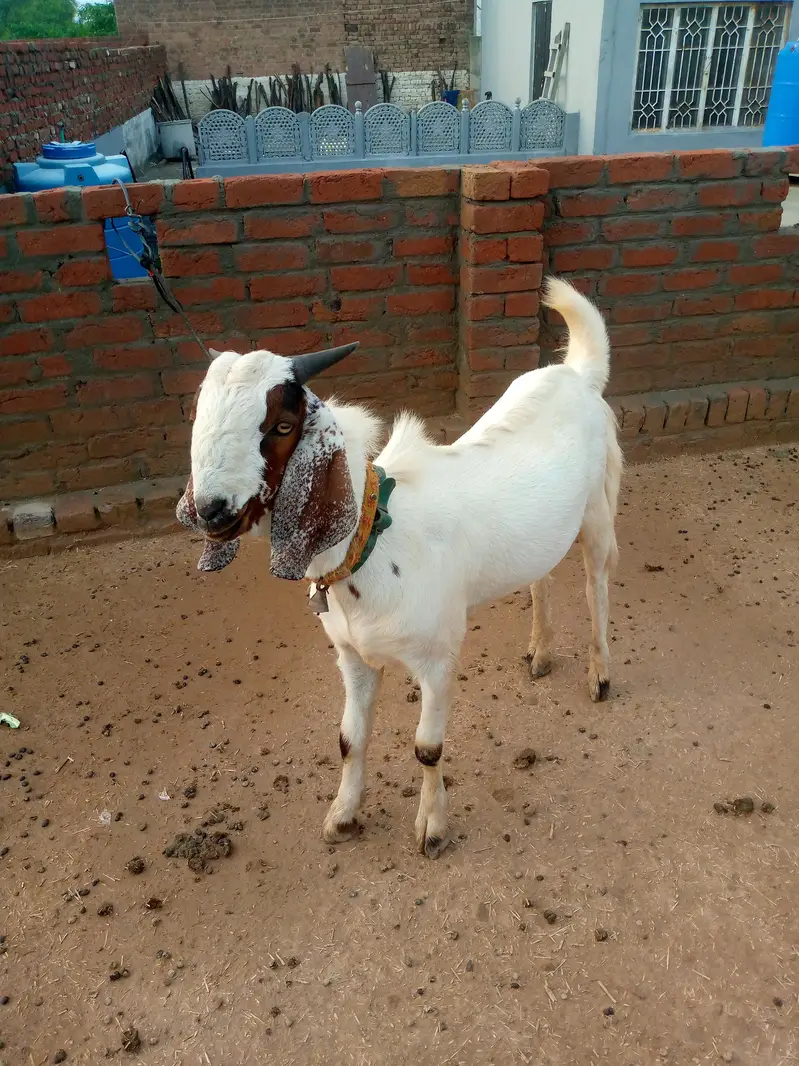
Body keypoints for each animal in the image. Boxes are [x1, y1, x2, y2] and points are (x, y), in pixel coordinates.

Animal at [186, 277, 622, 858]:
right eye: (198, 416)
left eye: (281, 425)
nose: (210, 511)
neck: (375, 540)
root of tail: (577, 373)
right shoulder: (352, 656)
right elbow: (349, 739)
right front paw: (343, 817)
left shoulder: (437, 657)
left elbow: (427, 748)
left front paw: (432, 828)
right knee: (542, 577)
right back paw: (541, 652)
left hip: (597, 508)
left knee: (597, 585)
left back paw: (600, 675)